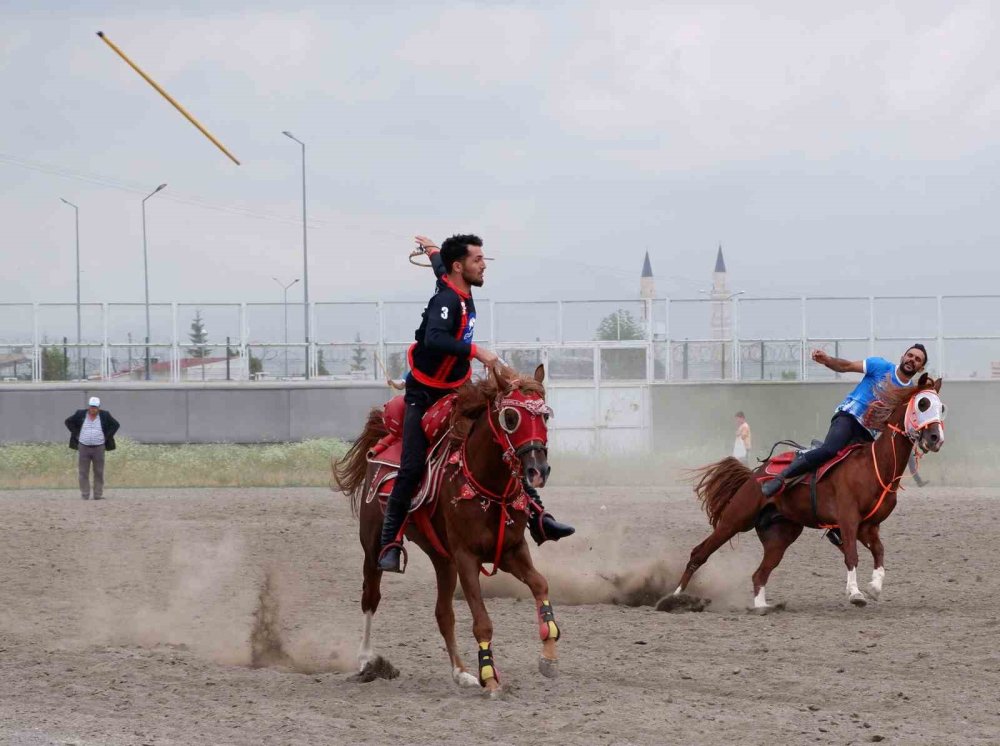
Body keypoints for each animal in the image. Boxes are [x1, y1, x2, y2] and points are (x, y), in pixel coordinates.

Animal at [332, 364, 560, 696]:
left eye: (545, 416)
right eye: (511, 417)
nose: (537, 470)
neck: (487, 485)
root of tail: (383, 441)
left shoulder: (511, 551)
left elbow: (541, 585)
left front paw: (548, 656)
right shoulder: (467, 557)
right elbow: (482, 621)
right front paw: (490, 677)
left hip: (442, 559)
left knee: (443, 614)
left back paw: (461, 673)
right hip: (373, 546)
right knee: (370, 597)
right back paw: (366, 661)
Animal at [672, 374, 944, 608]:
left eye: (942, 407)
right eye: (923, 403)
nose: (935, 438)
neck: (874, 467)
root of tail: (754, 475)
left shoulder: (868, 526)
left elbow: (879, 551)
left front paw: (875, 587)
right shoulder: (848, 519)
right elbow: (852, 555)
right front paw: (855, 593)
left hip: (781, 534)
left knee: (759, 574)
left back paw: (761, 607)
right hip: (735, 519)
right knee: (699, 553)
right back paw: (675, 597)